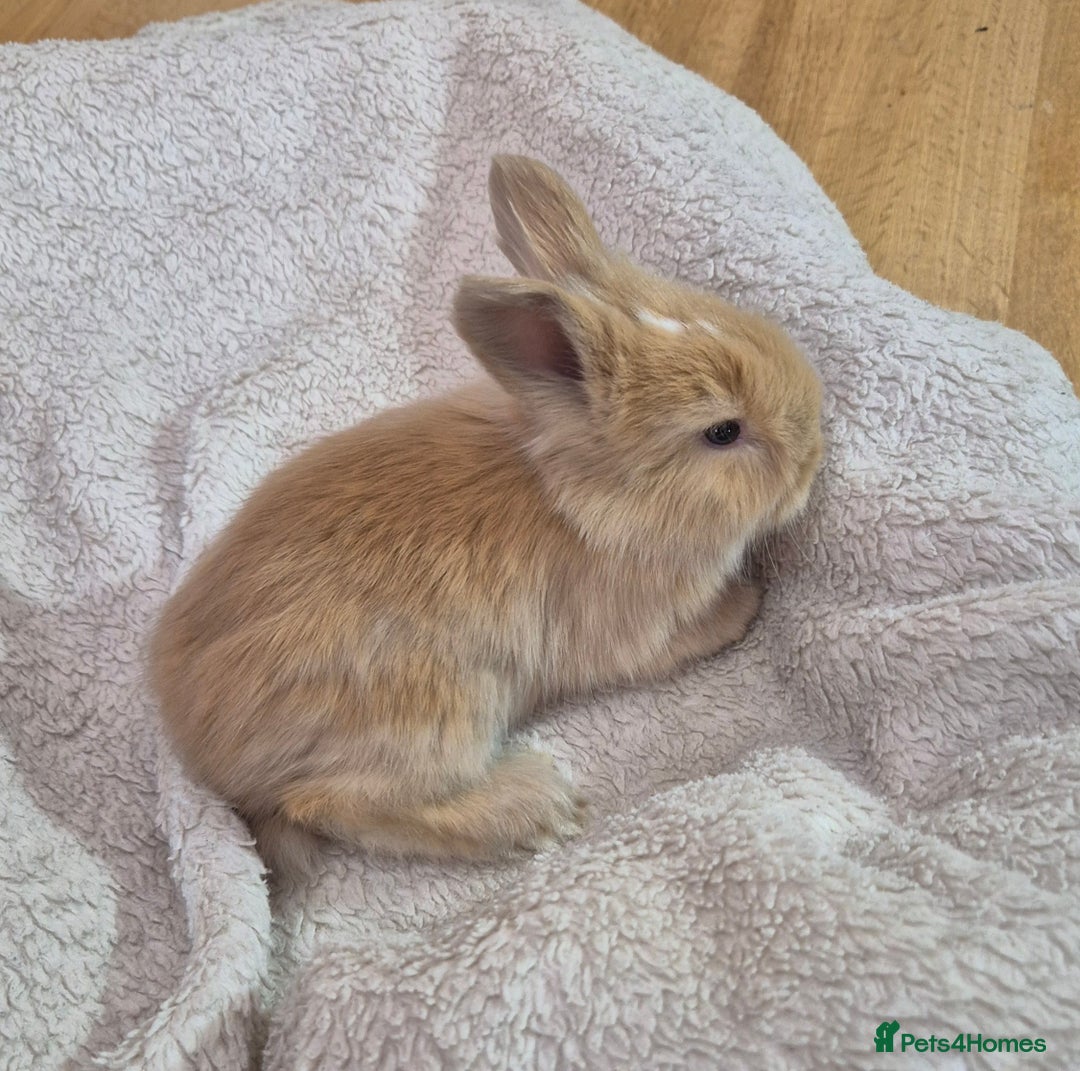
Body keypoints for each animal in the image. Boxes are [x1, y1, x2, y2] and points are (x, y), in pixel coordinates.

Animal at [149, 155, 824, 875]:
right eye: (723, 432)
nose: (815, 451)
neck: (579, 497)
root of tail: (206, 754)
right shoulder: (638, 631)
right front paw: (748, 602)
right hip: (438, 709)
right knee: (333, 802)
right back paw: (536, 807)